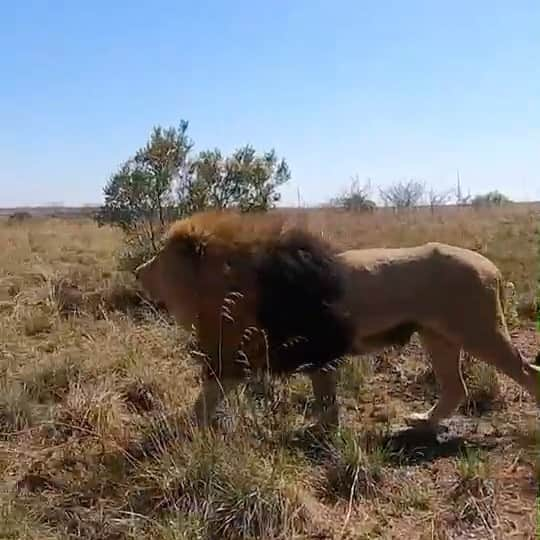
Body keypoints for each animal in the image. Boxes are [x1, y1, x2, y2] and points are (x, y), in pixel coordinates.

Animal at [136, 209, 540, 432]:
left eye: (159, 259)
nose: (138, 271)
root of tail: (493, 267)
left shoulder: (238, 352)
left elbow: (204, 400)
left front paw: (185, 432)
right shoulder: (314, 352)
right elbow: (325, 396)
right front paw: (323, 429)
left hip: (480, 331)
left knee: (527, 371)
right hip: (438, 336)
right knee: (455, 387)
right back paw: (423, 421)